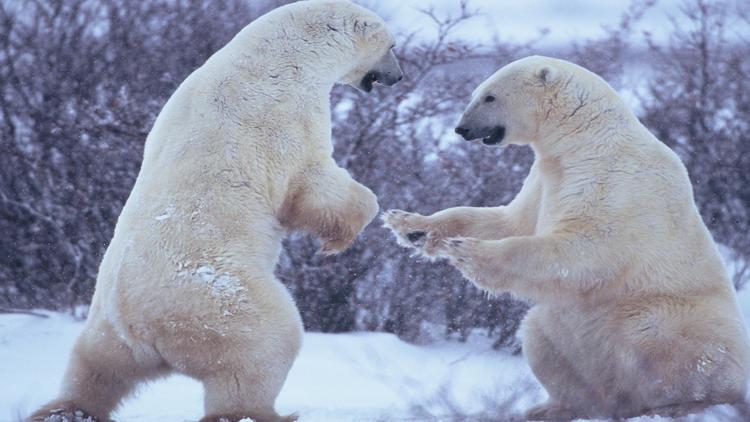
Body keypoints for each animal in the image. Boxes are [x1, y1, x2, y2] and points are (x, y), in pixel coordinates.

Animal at [33, 1, 406, 420]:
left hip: (107, 326)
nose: (398, 76)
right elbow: (312, 182)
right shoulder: (286, 115)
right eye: (392, 45)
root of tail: (144, 331)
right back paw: (264, 411)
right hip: (221, 303)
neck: (285, 51)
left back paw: (66, 409)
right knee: (264, 348)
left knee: (95, 369)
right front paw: (340, 237)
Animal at [388, 55, 750, 418]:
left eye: (489, 97)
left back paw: (682, 403)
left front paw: (468, 252)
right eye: (476, 93)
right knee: (540, 336)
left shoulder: (610, 178)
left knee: (656, 336)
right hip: (566, 338)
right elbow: (509, 221)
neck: (583, 138)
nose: (461, 129)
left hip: (681, 318)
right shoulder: (546, 177)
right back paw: (550, 409)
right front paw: (409, 224)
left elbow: (584, 249)